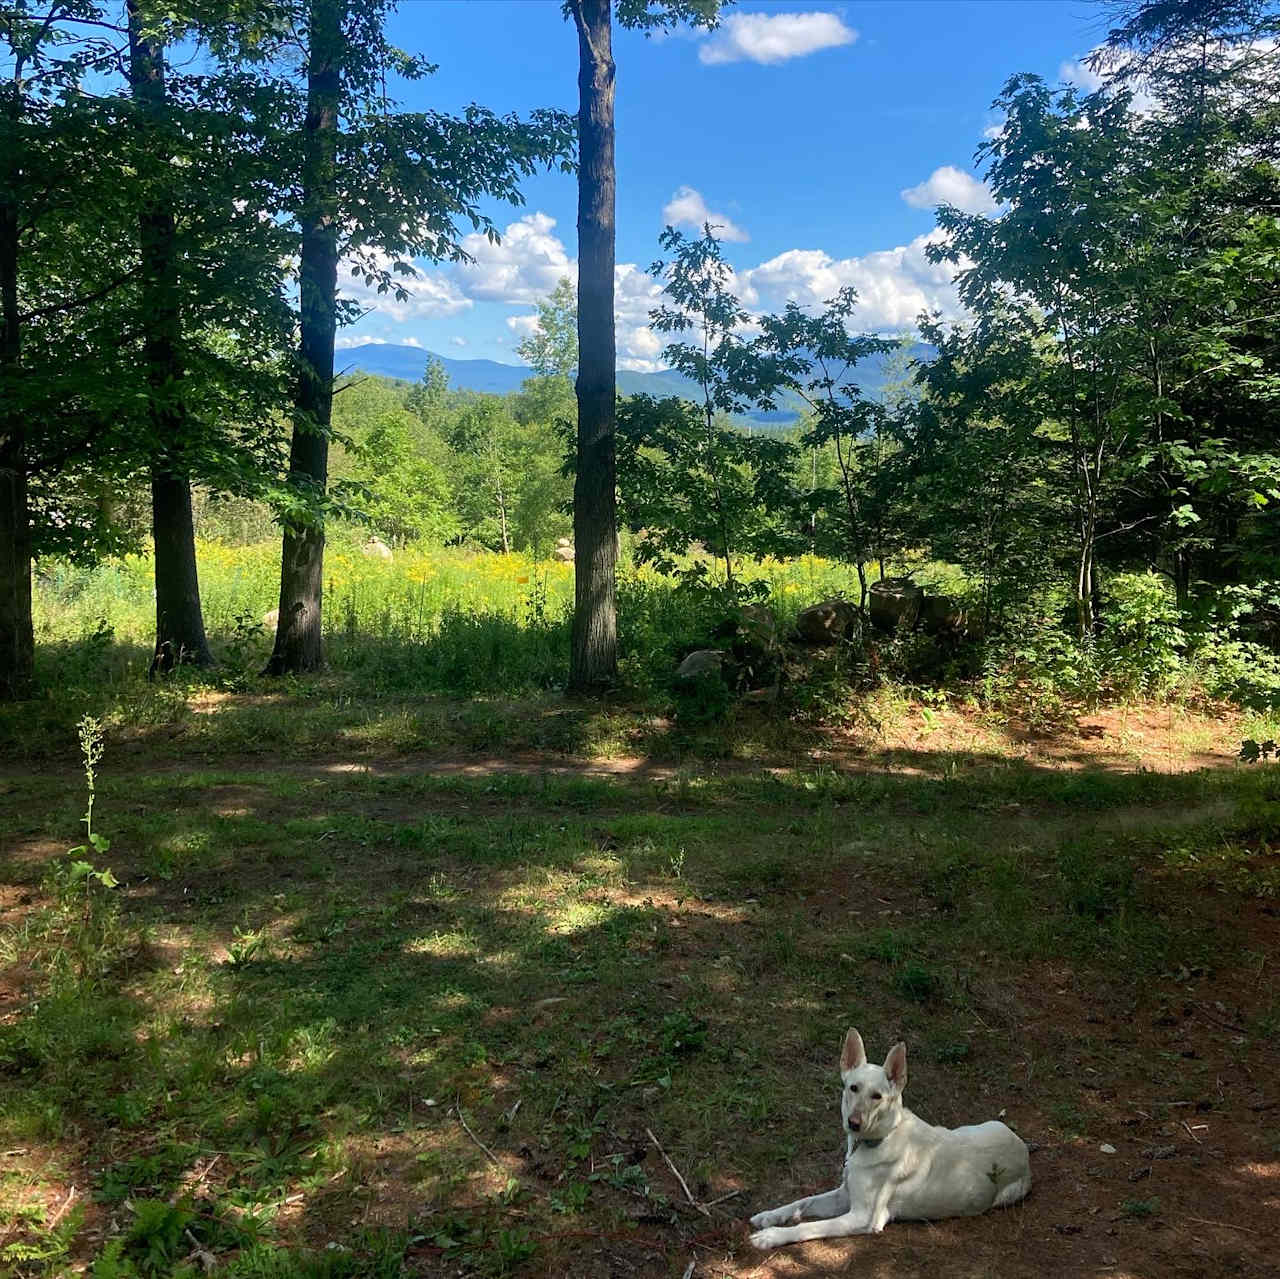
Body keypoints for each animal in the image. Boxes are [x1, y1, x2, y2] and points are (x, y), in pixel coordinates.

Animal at [747, 1029, 1029, 1249]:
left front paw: (771, 1236)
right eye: (853, 1088)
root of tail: (1023, 1148)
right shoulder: (843, 1196)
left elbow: (810, 1227)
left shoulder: (861, 1216)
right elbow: (802, 1202)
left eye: (877, 1097)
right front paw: (769, 1216)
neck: (878, 1139)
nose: (854, 1124)